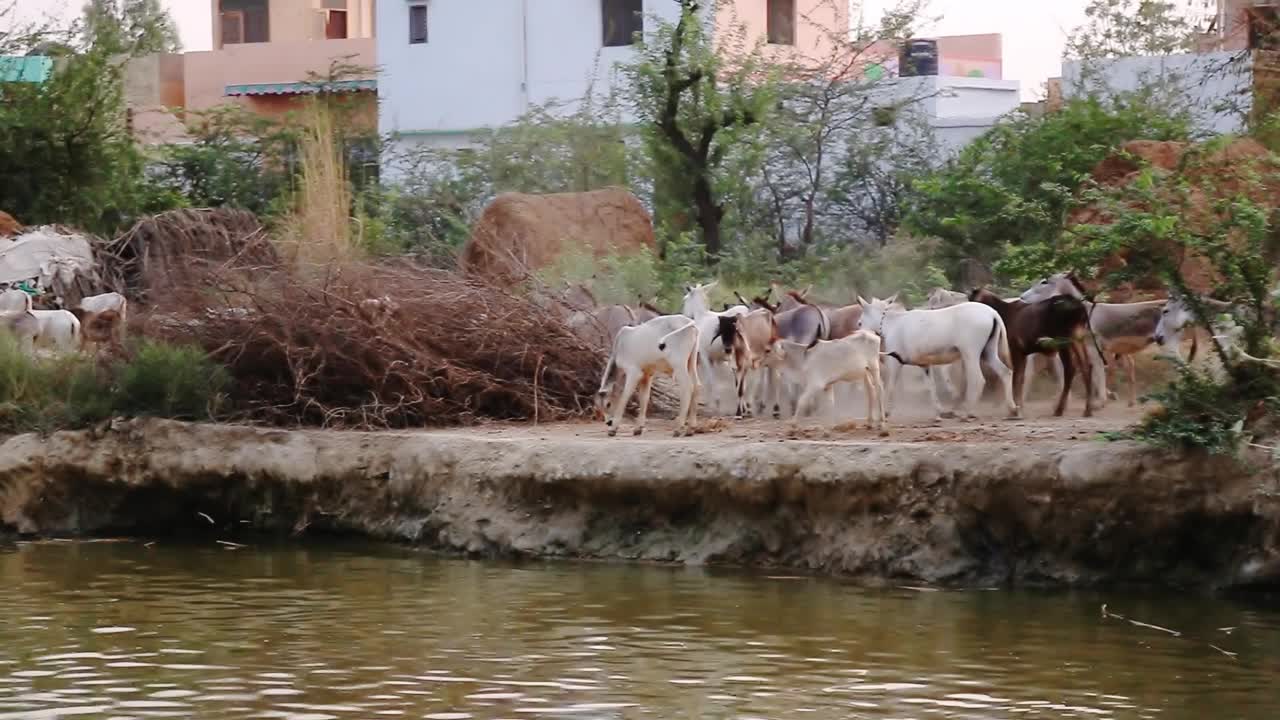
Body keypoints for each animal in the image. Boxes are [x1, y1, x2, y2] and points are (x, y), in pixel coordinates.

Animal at [860, 293, 1018, 417]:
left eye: (860, 322)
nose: (859, 332)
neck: (892, 323)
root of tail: (993, 313)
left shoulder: (895, 361)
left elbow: (890, 385)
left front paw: (886, 412)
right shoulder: (924, 364)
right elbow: (931, 386)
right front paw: (939, 411)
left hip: (970, 353)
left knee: (978, 379)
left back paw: (968, 411)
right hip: (988, 352)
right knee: (1005, 372)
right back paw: (1012, 409)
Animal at [962, 286, 1095, 415]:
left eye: (971, 299)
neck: (1003, 314)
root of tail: (1081, 308)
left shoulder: (1015, 349)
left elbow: (1016, 377)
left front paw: (1015, 407)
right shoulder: (1023, 352)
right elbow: (1021, 377)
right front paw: (1019, 406)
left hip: (1064, 340)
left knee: (1070, 369)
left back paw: (1059, 409)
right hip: (1078, 337)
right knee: (1086, 365)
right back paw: (1087, 409)